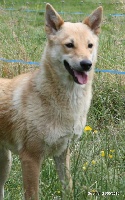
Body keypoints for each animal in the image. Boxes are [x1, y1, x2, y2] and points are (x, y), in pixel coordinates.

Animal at [0, 3, 102, 200]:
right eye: (69, 45)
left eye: (90, 45)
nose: (87, 64)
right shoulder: (30, 158)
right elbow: (32, 194)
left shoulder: (62, 153)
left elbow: (68, 187)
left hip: (5, 163)